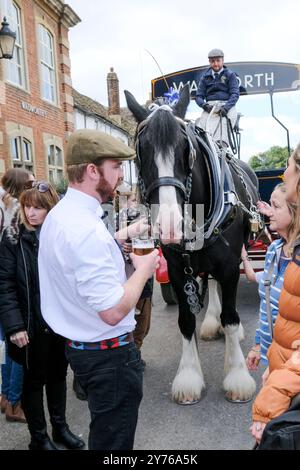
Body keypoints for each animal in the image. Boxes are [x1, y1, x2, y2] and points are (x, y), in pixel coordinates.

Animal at [125, 84, 258, 404]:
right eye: (140, 153)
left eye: (187, 151)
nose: (171, 225)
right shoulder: (176, 269)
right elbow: (185, 320)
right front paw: (188, 375)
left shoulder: (230, 265)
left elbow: (231, 317)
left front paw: (237, 375)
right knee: (209, 282)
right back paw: (210, 322)